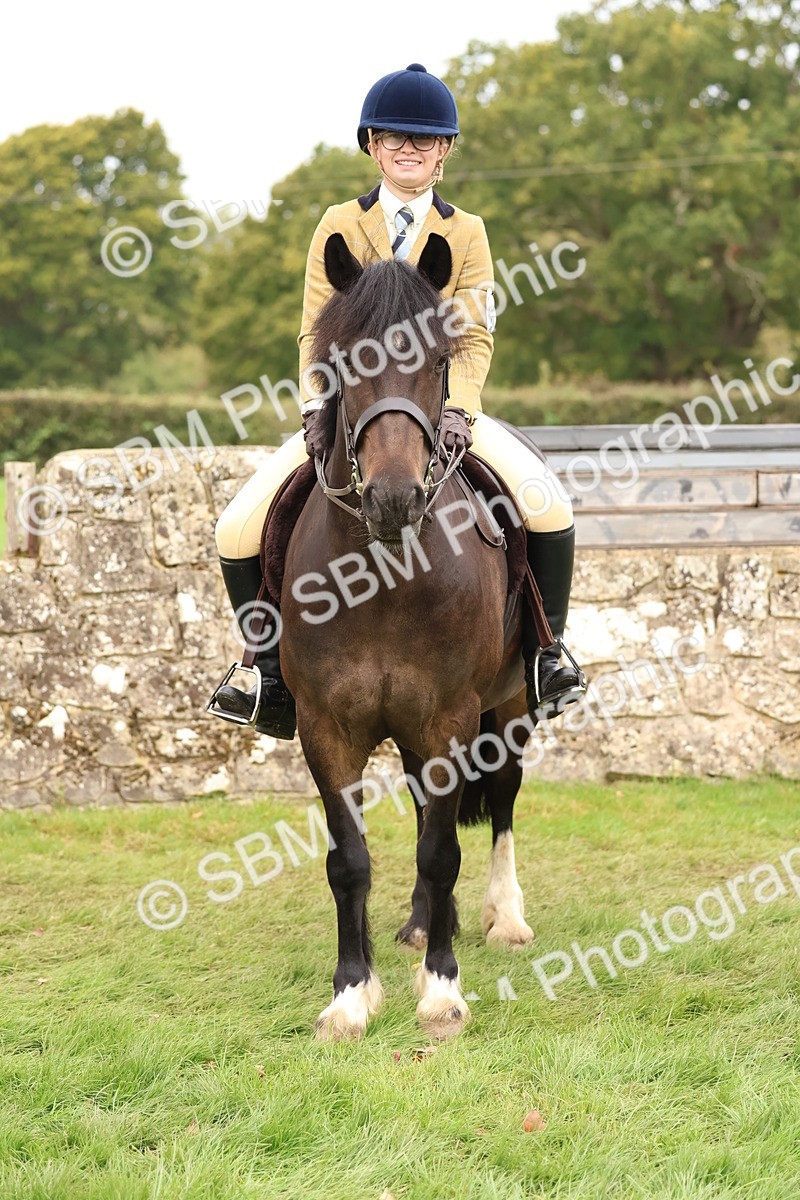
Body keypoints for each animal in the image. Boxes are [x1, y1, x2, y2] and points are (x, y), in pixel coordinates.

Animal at [279, 231, 535, 1042]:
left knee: (501, 801)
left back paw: (502, 919)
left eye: (439, 357)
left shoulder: (452, 717)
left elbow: (443, 850)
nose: (394, 498)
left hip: (508, 708)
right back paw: (424, 926)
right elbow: (350, 860)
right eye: (344, 358)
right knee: (426, 809)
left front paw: (442, 991)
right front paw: (351, 994)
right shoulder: (326, 727)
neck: (385, 577)